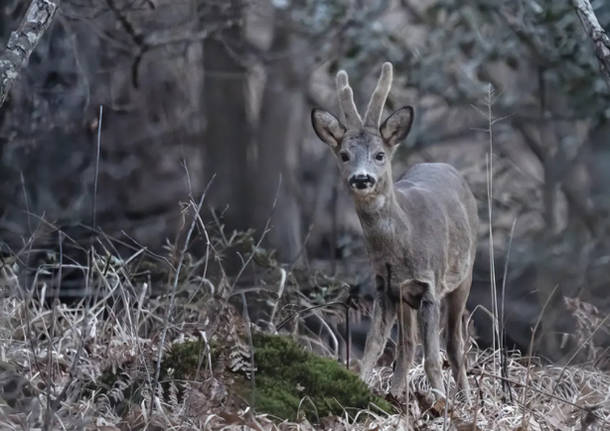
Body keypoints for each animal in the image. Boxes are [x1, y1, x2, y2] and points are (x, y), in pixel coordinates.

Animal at [312, 62, 478, 400]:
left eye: (380, 154)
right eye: (344, 155)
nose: (362, 178)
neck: (403, 242)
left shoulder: (429, 285)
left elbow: (433, 356)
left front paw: (440, 401)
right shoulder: (385, 287)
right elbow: (374, 346)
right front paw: (362, 386)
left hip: (464, 274)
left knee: (454, 343)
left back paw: (466, 399)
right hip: (404, 297)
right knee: (407, 345)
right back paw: (399, 391)